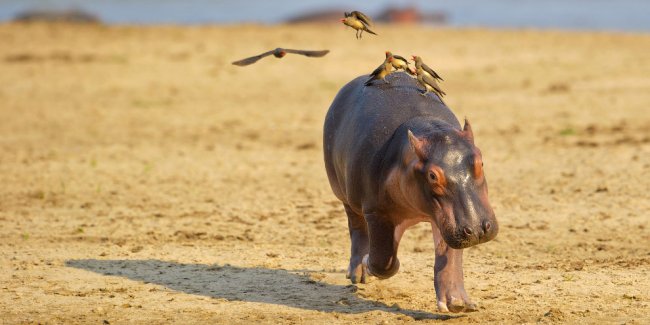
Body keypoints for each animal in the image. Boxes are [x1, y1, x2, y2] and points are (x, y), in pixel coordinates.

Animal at [322, 71, 496, 312]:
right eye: (432, 176)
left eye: (480, 161)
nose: (478, 229)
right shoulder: (376, 212)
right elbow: (383, 260)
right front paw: (369, 264)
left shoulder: (449, 223)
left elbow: (449, 257)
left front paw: (458, 303)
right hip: (345, 194)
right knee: (356, 227)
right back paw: (358, 272)